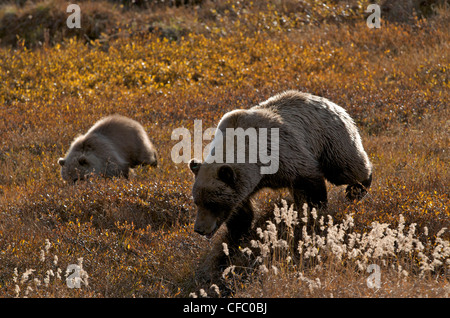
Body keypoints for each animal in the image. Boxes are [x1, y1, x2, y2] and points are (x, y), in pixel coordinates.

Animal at [189, 90, 372, 242]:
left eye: (213, 203)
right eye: (197, 202)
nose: (199, 229)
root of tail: (331, 102)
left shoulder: (284, 156)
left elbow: (309, 183)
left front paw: (314, 212)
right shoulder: (247, 183)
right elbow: (240, 209)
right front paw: (238, 234)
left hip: (330, 138)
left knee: (345, 167)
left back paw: (357, 189)